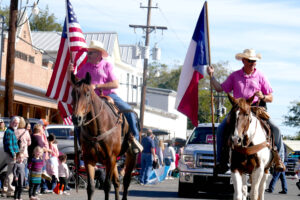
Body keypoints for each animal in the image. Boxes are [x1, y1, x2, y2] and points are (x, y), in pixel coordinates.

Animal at [71, 72, 137, 200]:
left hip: (130, 156)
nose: (77, 118)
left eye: (87, 93)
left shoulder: (110, 158)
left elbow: (107, 186)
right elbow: (90, 187)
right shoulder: (89, 159)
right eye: (72, 93)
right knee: (117, 182)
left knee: (126, 181)